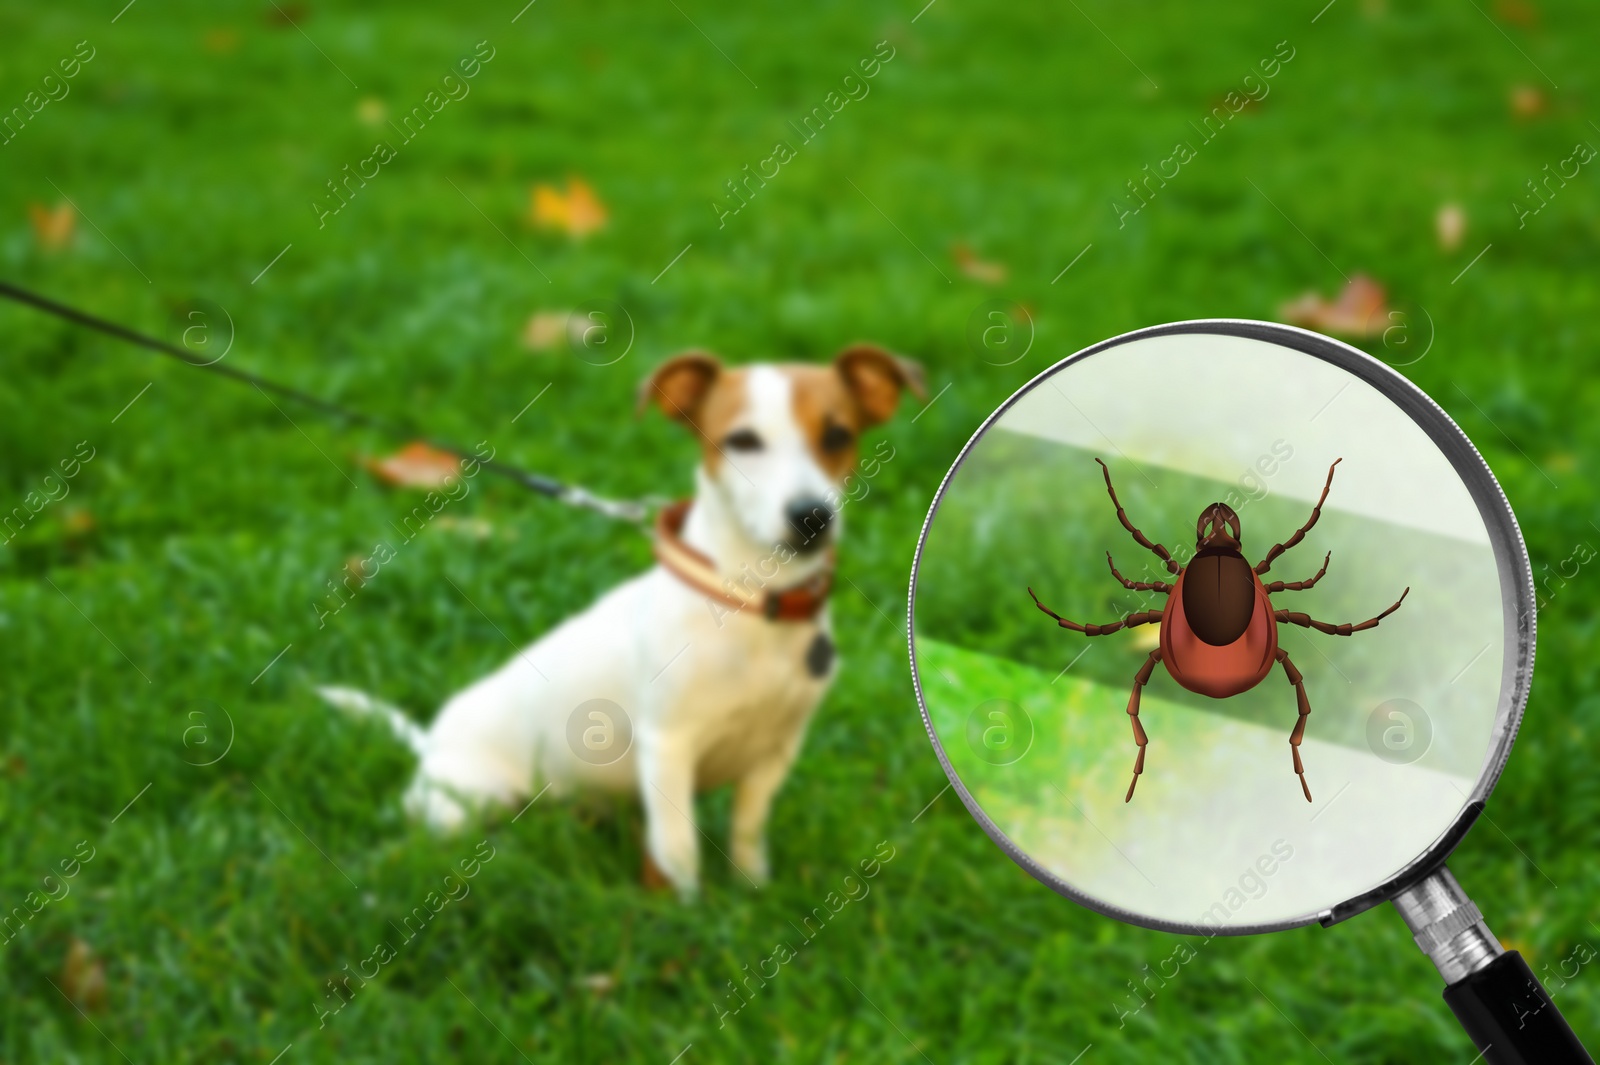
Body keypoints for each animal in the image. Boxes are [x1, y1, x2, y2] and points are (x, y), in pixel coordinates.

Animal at [316, 343, 921, 889]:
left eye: (838, 435)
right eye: (743, 441)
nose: (812, 517)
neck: (752, 602)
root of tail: (431, 747)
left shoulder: (773, 757)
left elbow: (748, 835)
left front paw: (753, 891)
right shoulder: (668, 748)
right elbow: (678, 854)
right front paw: (688, 916)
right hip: (465, 803)